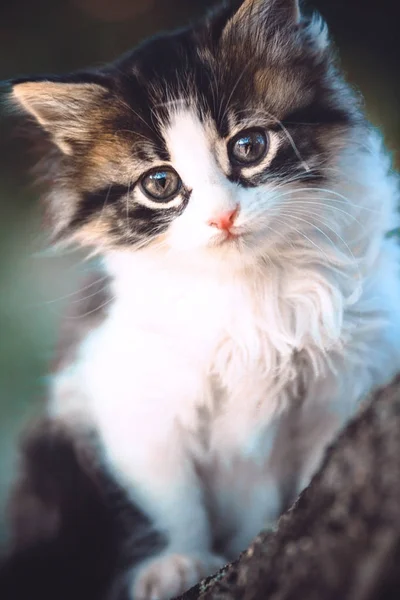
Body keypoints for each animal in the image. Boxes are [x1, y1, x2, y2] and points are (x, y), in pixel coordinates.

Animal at [7, 0, 400, 596]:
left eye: (249, 147)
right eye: (160, 184)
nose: (223, 216)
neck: (251, 286)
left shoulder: (344, 382)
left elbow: (314, 467)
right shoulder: (128, 396)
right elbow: (168, 500)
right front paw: (178, 561)